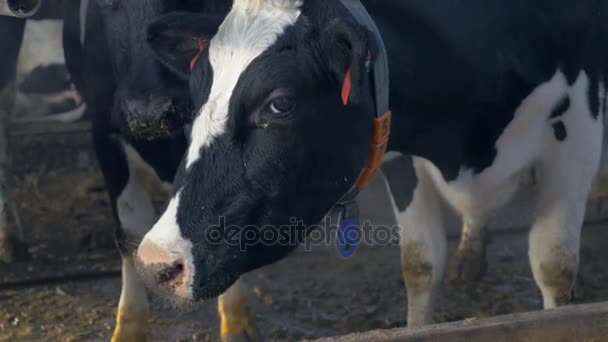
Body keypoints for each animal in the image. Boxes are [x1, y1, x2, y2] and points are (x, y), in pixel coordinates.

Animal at [135, 0, 608, 332]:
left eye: (279, 102)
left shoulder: (582, 117)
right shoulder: (394, 140)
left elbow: (553, 263)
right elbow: (420, 263)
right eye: (196, 95)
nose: (156, 262)